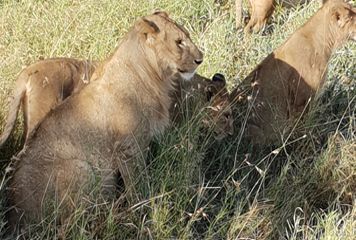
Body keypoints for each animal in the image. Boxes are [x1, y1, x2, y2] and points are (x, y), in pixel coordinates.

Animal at [7, 10, 203, 229]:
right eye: (179, 42)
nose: (200, 60)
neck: (154, 77)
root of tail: (15, 216)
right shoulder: (129, 147)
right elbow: (137, 184)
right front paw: (143, 212)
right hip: (82, 168)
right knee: (71, 224)